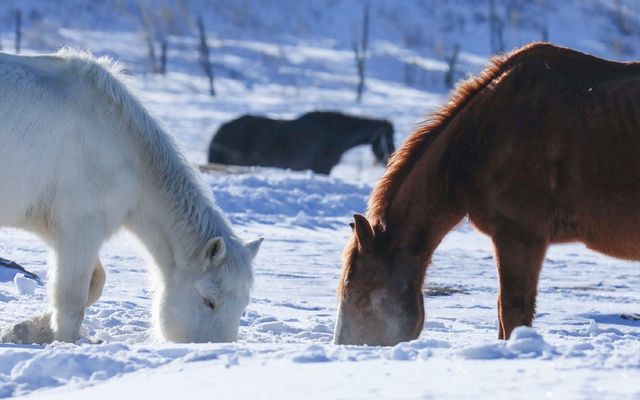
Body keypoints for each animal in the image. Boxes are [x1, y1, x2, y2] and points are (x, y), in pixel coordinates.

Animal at [0, 49, 262, 344]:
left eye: (243, 306)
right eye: (209, 301)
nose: (214, 347)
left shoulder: (70, 233)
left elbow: (95, 284)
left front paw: (23, 329)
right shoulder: (78, 229)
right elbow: (71, 301)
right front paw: (61, 340)